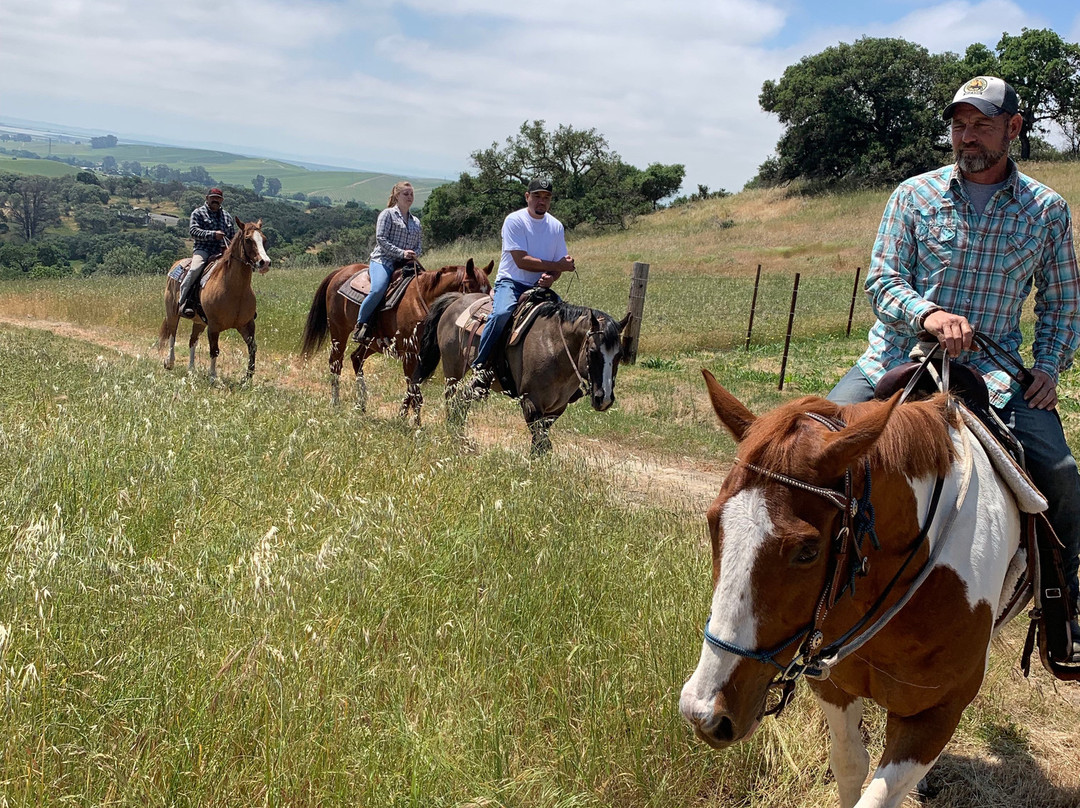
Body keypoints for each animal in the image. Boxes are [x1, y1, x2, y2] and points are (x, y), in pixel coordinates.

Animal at [158, 218, 270, 382]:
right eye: (248, 239)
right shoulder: (213, 326)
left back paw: (191, 370)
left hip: (199, 322)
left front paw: (247, 378)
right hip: (173, 313)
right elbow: (214, 350)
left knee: (192, 341)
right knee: (172, 334)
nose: (265, 263)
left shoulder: (247, 325)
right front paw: (213, 376)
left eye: (264, 239)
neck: (235, 290)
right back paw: (169, 362)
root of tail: (176, 264)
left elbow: (252, 347)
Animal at [300, 259, 494, 423]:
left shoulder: (419, 357)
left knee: (356, 359)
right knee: (335, 364)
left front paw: (402, 416)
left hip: (371, 342)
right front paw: (416, 424)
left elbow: (412, 388)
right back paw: (336, 403)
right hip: (338, 332)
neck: (422, 300)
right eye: (468, 285)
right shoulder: (410, 354)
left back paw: (361, 404)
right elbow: (415, 391)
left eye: (489, 289)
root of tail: (340, 271)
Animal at [412, 289, 630, 453]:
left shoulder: (556, 409)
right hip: (453, 369)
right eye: (592, 352)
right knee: (452, 400)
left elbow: (542, 443)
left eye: (619, 355)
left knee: (461, 402)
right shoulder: (530, 402)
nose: (605, 399)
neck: (554, 347)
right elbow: (541, 443)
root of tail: (458, 299)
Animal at [678, 371, 1032, 808]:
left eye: (808, 551)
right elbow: (850, 764)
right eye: (713, 522)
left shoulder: (936, 716)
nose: (704, 712)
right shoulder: (831, 684)